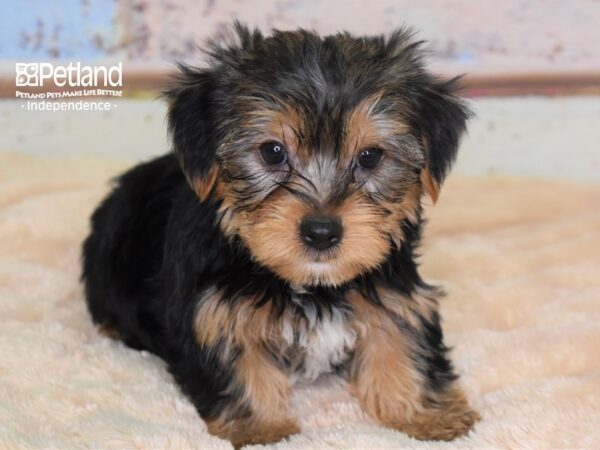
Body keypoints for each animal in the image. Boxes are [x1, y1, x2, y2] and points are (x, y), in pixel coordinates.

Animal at [82, 23, 480, 446]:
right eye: (272, 152)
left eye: (370, 156)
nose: (321, 231)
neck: (313, 286)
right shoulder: (212, 313)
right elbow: (240, 368)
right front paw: (263, 429)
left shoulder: (398, 295)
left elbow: (404, 345)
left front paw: (426, 416)